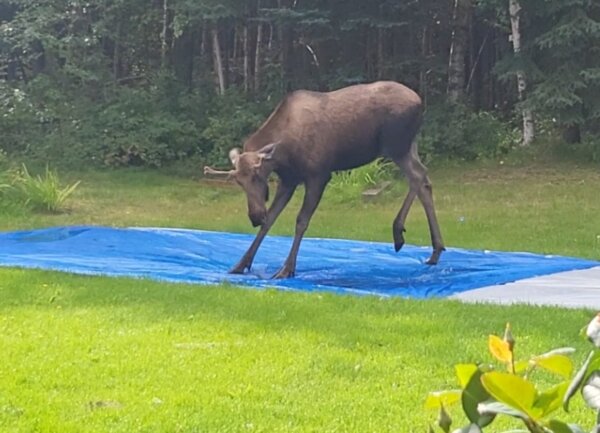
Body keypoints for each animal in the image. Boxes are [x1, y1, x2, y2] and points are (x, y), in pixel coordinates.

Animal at [206, 80, 446, 276]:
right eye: (239, 182)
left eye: (257, 176)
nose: (255, 217)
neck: (283, 155)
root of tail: (420, 102)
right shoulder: (289, 181)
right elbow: (271, 219)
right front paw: (240, 264)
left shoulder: (318, 176)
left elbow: (301, 221)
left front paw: (287, 269)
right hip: (409, 146)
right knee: (425, 179)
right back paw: (435, 250)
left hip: (396, 146)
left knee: (418, 177)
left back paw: (399, 231)